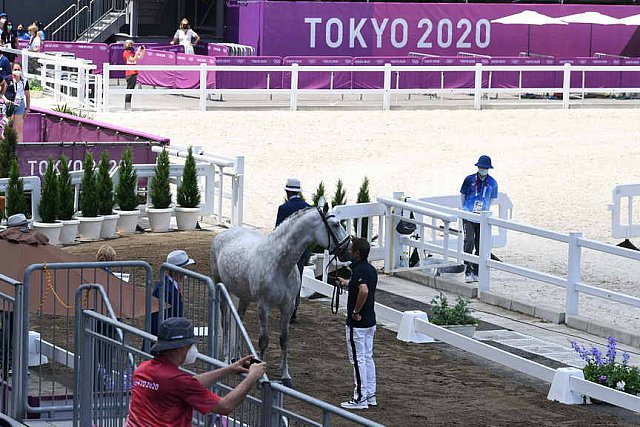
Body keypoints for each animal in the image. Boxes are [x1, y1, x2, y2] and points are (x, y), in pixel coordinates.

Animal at [210, 204, 350, 388]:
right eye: (334, 224)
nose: (347, 250)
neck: (279, 264)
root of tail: (223, 234)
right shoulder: (263, 306)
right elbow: (264, 340)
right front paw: (261, 376)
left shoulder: (288, 306)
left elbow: (284, 339)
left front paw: (286, 376)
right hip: (222, 287)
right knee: (225, 321)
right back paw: (226, 357)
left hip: (244, 296)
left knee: (239, 319)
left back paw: (237, 357)